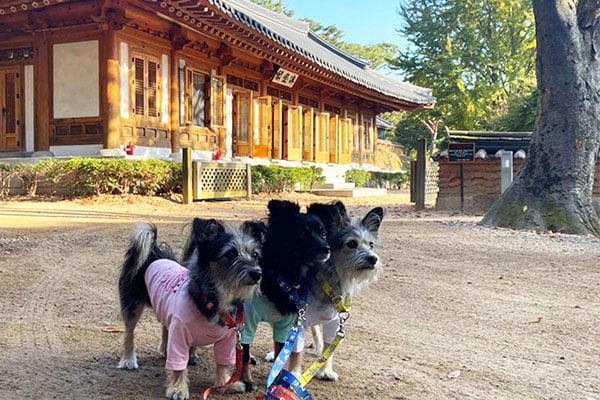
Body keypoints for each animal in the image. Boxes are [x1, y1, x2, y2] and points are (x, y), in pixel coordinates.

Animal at [117, 219, 264, 400]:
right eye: (230, 253)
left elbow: (222, 363)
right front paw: (178, 389)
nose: (257, 273)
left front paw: (226, 384)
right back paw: (129, 359)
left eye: (255, 255)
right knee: (129, 332)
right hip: (132, 305)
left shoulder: (227, 340)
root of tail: (153, 252)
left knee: (165, 326)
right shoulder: (179, 335)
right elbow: (179, 365)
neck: (215, 300)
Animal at [240, 200, 332, 390]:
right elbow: (244, 352)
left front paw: (277, 379)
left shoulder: (286, 325)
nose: (327, 248)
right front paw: (246, 379)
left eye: (323, 233)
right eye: (302, 233)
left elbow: (280, 355)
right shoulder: (248, 319)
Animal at [290, 200, 384, 382]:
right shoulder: (299, 319)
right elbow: (295, 351)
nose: (373, 258)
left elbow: (329, 348)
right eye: (351, 243)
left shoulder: (334, 321)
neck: (330, 278)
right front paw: (293, 375)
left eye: (371, 245)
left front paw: (325, 370)